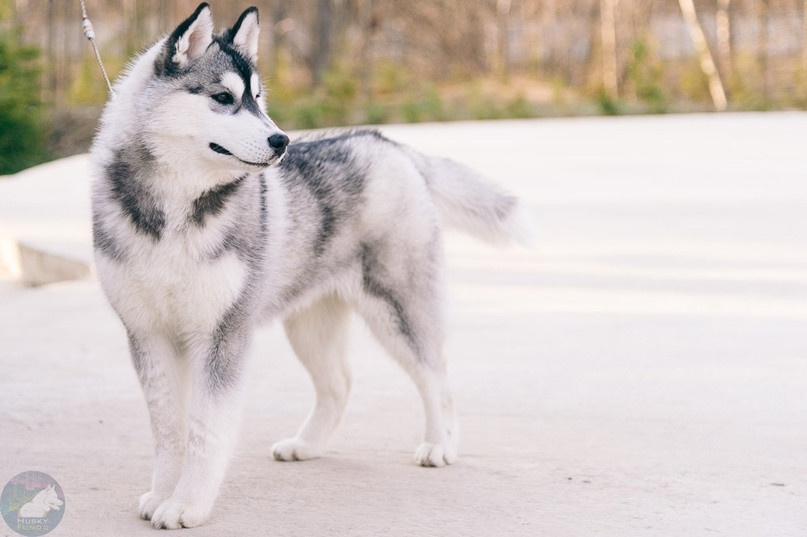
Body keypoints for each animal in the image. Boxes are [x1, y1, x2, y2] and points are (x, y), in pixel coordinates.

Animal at [91, 2, 532, 528]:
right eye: (223, 98)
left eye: (259, 99)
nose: (281, 140)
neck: (173, 210)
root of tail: (389, 144)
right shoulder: (148, 334)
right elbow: (167, 428)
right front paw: (162, 493)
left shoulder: (222, 335)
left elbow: (203, 428)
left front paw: (188, 505)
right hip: (309, 321)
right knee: (339, 384)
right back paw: (308, 444)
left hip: (398, 308)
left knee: (436, 374)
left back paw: (440, 445)